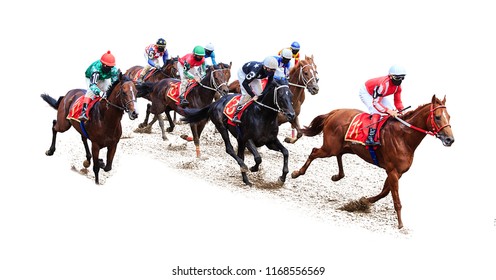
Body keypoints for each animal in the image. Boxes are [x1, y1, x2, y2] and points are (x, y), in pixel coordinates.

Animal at [292, 95, 456, 229]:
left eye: (449, 116)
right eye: (437, 117)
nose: (450, 139)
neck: (403, 137)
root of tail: (334, 112)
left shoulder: (397, 172)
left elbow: (384, 192)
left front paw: (363, 201)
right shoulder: (393, 171)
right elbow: (395, 198)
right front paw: (401, 224)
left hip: (344, 147)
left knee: (338, 155)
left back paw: (337, 176)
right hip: (329, 148)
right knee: (314, 152)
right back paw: (297, 173)